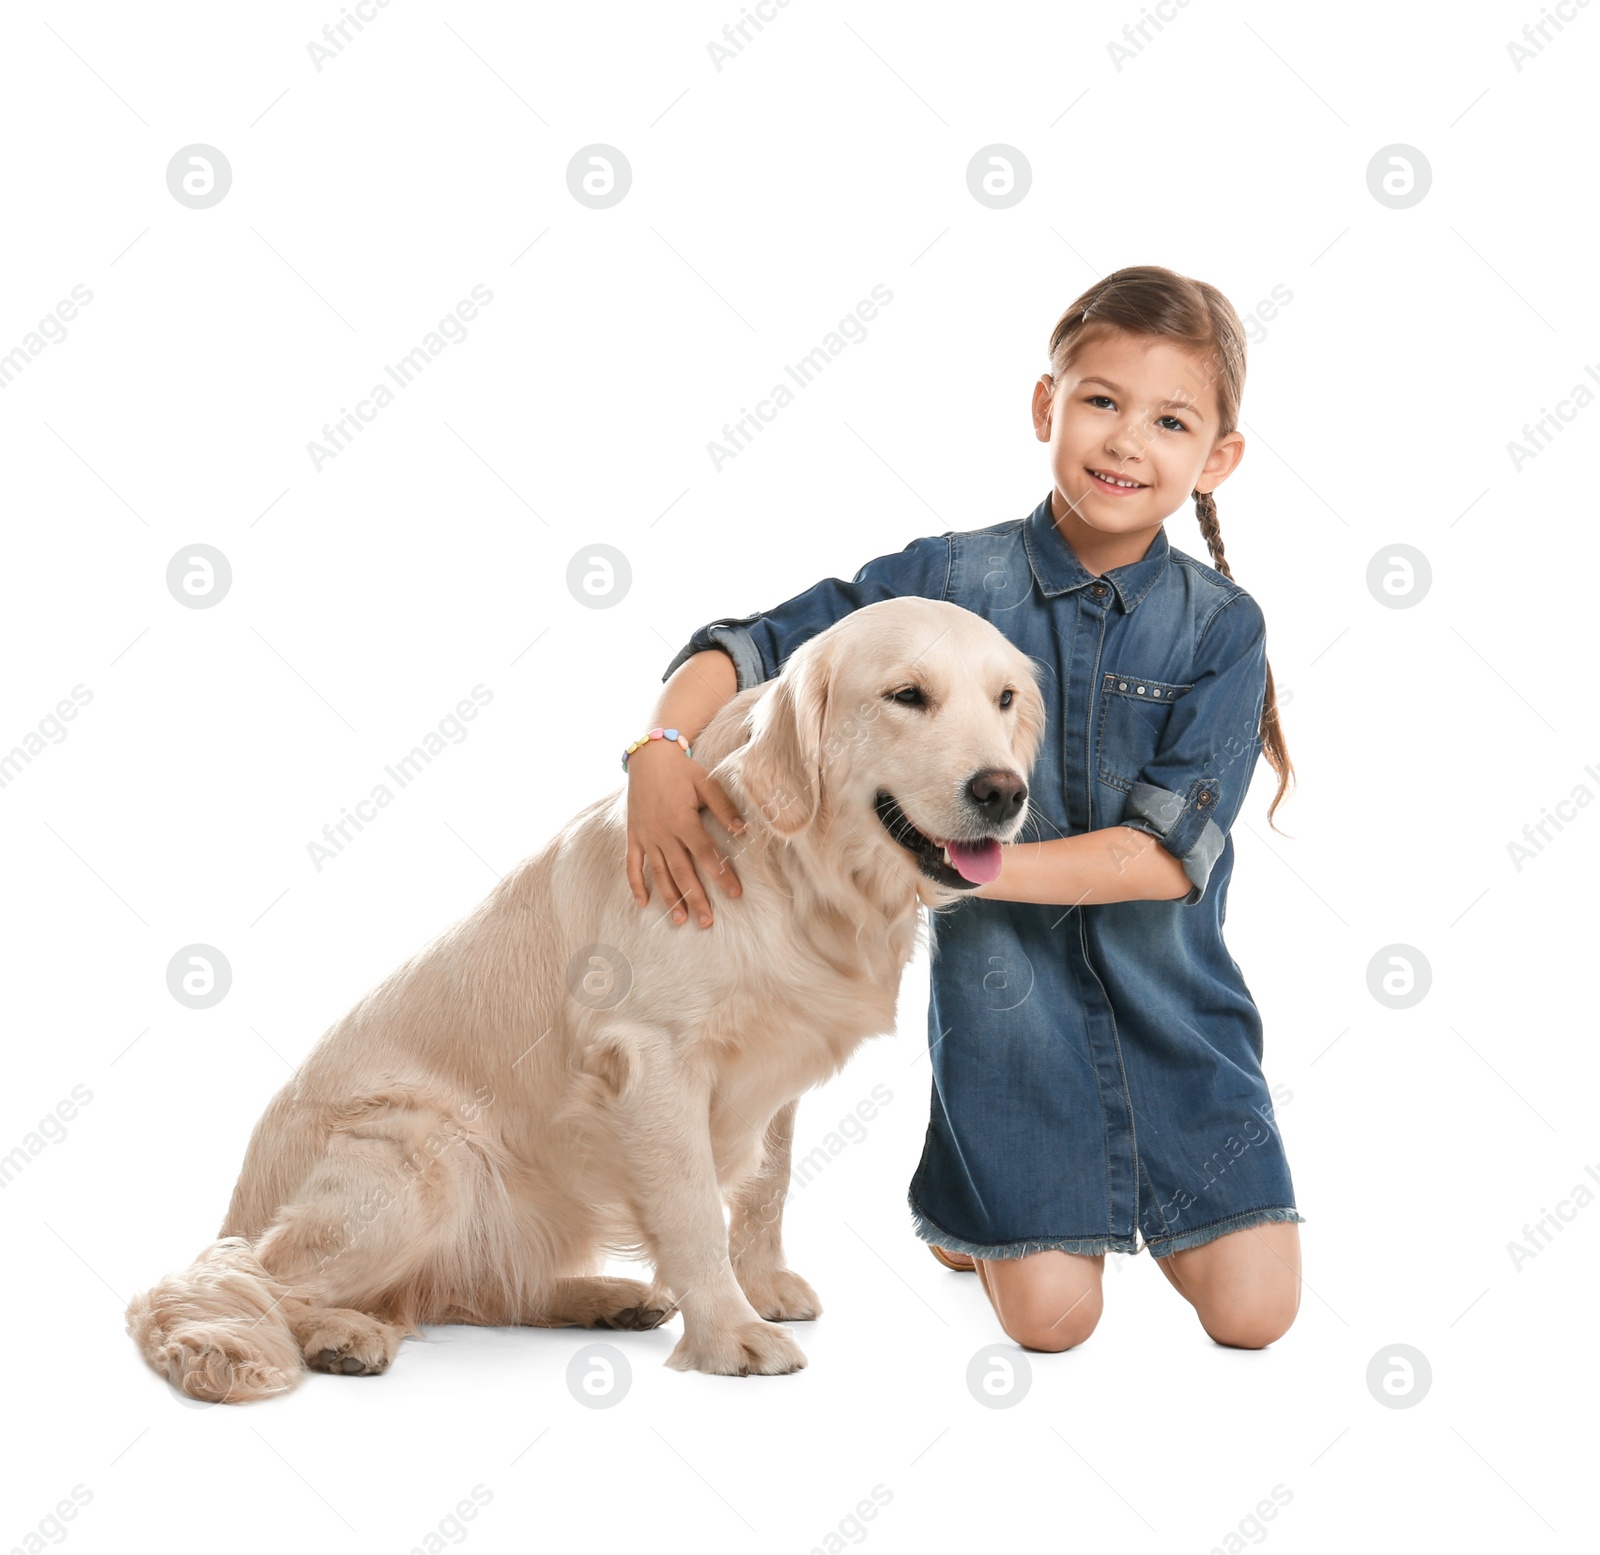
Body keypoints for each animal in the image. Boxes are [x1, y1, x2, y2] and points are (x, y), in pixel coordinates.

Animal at [128, 591, 1049, 1395]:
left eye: (1003, 698)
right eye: (906, 695)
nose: (1003, 791)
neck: (801, 872)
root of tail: (234, 1209)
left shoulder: (777, 1064)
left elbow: (766, 1184)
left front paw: (763, 1285)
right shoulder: (654, 1060)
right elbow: (694, 1210)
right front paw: (732, 1334)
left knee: (469, 1289)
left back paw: (604, 1297)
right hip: (428, 1149)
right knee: (256, 1278)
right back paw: (337, 1332)